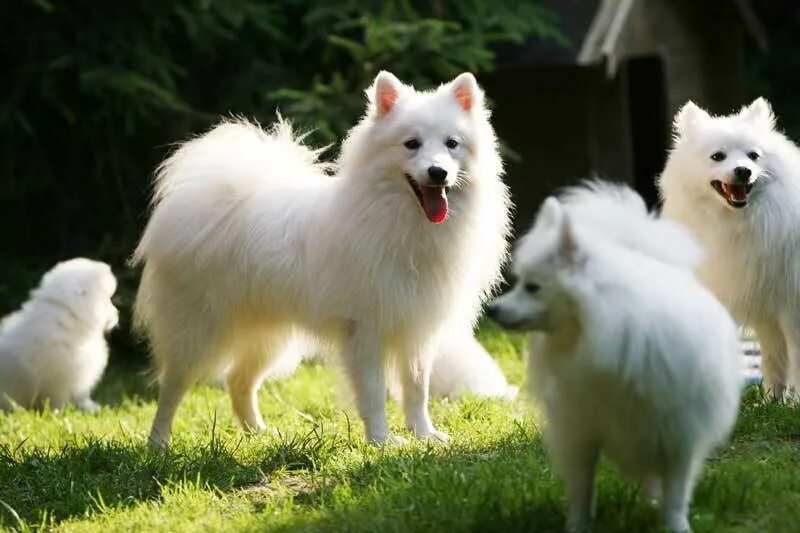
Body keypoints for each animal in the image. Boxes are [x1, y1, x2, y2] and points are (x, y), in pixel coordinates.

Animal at [0, 258, 118, 412]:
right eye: (107, 300)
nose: (116, 314)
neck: (69, 317)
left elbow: (81, 396)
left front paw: (92, 408)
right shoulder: (59, 380)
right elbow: (57, 400)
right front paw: (58, 413)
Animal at [130, 70, 506, 444]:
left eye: (451, 144)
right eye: (411, 144)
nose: (438, 172)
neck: (403, 221)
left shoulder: (416, 328)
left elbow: (417, 389)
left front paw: (425, 434)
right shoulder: (366, 328)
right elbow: (373, 392)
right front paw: (382, 441)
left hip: (268, 334)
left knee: (239, 380)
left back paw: (259, 433)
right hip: (199, 329)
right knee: (173, 387)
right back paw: (159, 442)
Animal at [488, 182, 744, 528]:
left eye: (533, 287)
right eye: (518, 283)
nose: (492, 309)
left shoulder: (680, 436)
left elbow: (676, 494)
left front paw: (676, 526)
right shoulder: (582, 431)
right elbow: (582, 489)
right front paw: (578, 527)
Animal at [660, 97, 800, 400]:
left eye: (753, 156)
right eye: (717, 156)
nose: (743, 171)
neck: (740, 223)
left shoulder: (790, 305)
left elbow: (795, 357)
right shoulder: (762, 305)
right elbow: (773, 359)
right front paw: (773, 400)